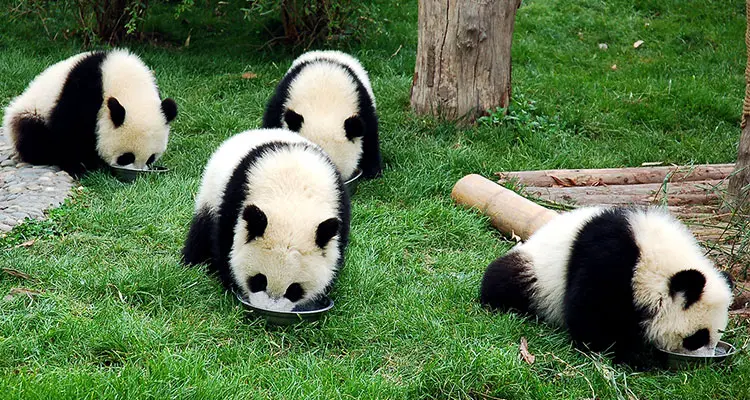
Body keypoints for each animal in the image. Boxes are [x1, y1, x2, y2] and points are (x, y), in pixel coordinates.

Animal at [2, 50, 177, 176]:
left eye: (151, 157)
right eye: (126, 157)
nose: (137, 173)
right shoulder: (84, 92)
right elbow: (69, 130)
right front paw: (78, 166)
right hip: (30, 112)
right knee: (32, 135)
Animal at [182, 128, 351, 312]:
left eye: (294, 289)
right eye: (259, 280)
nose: (269, 309)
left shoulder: (340, 208)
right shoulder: (235, 199)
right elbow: (226, 242)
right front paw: (230, 282)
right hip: (211, 193)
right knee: (201, 232)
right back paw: (193, 264)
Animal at [480, 206, 733, 364]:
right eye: (697, 337)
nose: (706, 359)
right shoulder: (608, 261)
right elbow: (590, 313)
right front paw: (631, 356)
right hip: (537, 272)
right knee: (506, 279)